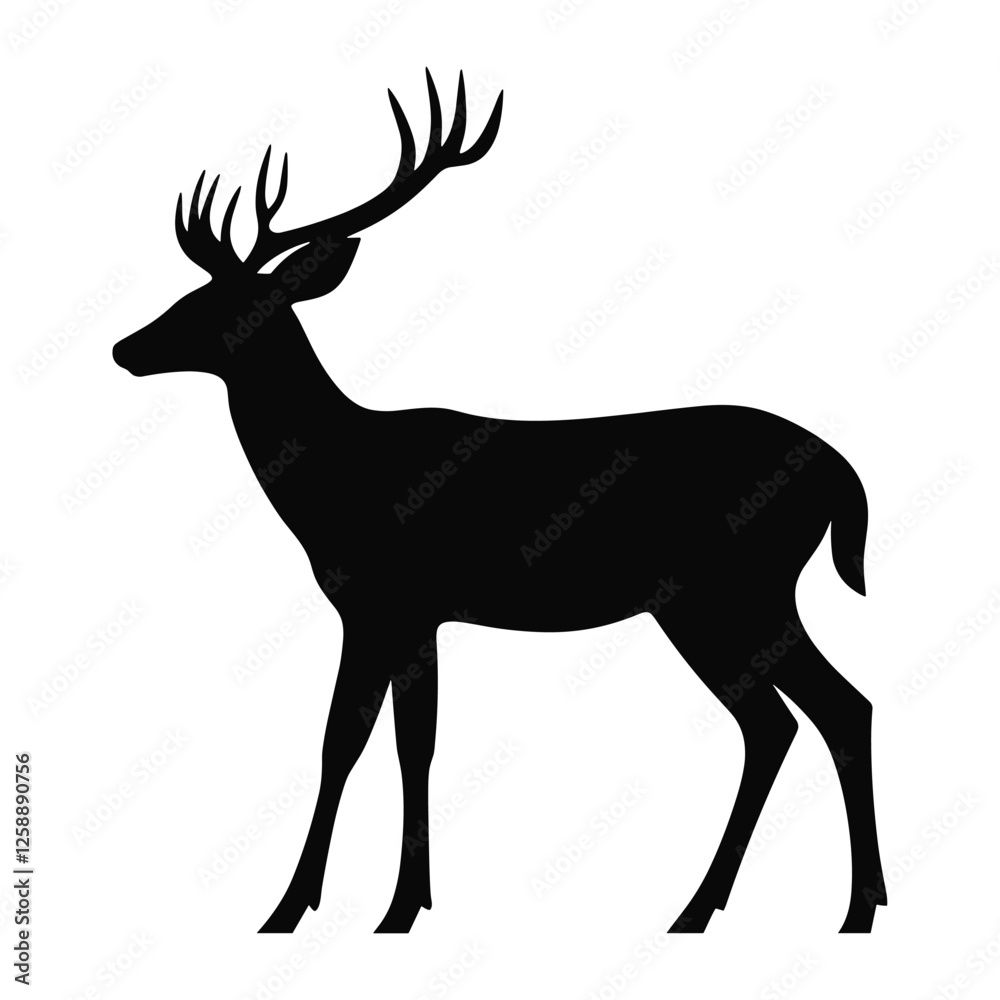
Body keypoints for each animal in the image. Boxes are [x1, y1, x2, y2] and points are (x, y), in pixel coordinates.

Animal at [112, 70, 886, 935]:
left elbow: (355, 741)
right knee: (799, 716)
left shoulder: (387, 601)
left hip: (731, 589)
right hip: (721, 600)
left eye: (215, 306)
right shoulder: (412, 614)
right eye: (186, 294)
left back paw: (822, 908)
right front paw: (394, 903)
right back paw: (747, 906)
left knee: (816, 712)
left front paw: (315, 908)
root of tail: (843, 476)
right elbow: (404, 741)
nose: (124, 347)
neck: (338, 483)